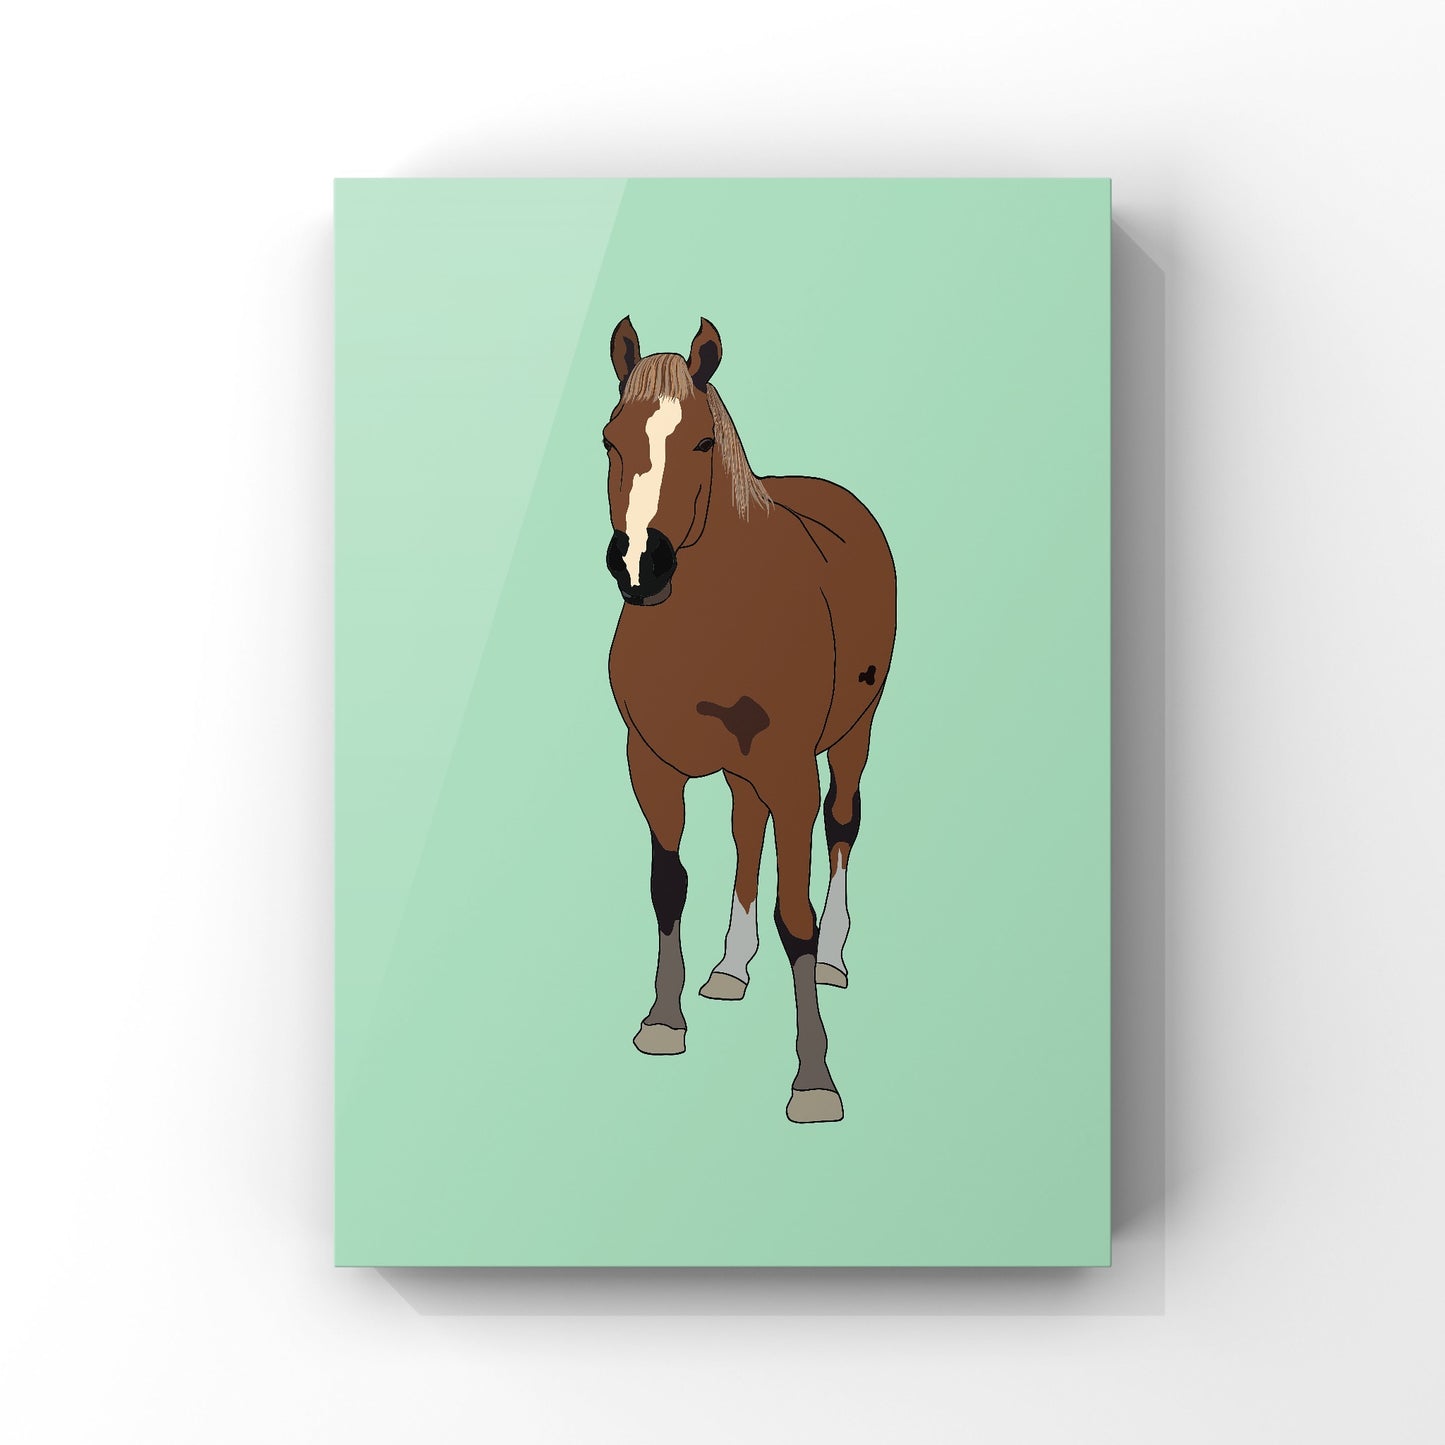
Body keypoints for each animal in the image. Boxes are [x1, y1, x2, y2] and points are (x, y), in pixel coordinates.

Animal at [603, 317, 897, 1124]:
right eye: (609, 439)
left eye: (703, 442)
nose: (639, 566)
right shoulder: (651, 764)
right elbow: (668, 885)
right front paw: (663, 1021)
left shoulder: (791, 772)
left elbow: (795, 915)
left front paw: (814, 1081)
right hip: (741, 766)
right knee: (743, 829)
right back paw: (731, 967)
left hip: (853, 734)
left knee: (841, 825)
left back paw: (832, 958)